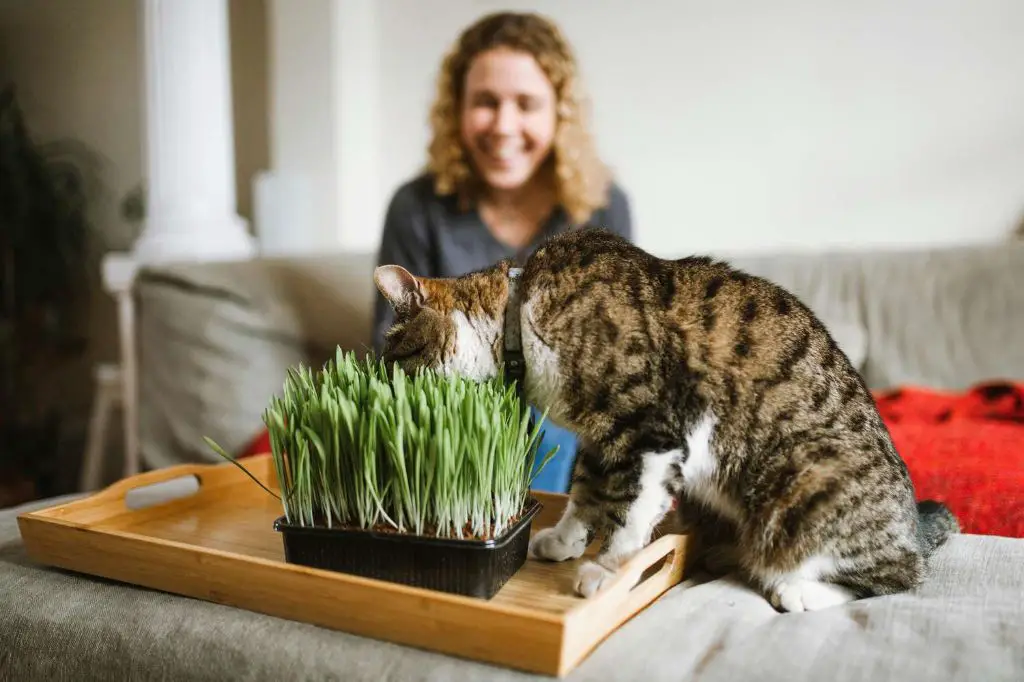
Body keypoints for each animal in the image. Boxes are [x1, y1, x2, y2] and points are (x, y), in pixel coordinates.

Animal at [376, 227, 958, 610]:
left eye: (396, 360)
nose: (390, 388)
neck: (521, 313)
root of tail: (912, 525)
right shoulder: (601, 438)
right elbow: (586, 492)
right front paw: (564, 542)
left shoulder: (650, 428)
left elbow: (631, 511)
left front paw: (607, 572)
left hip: (805, 477)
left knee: (897, 576)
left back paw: (797, 589)